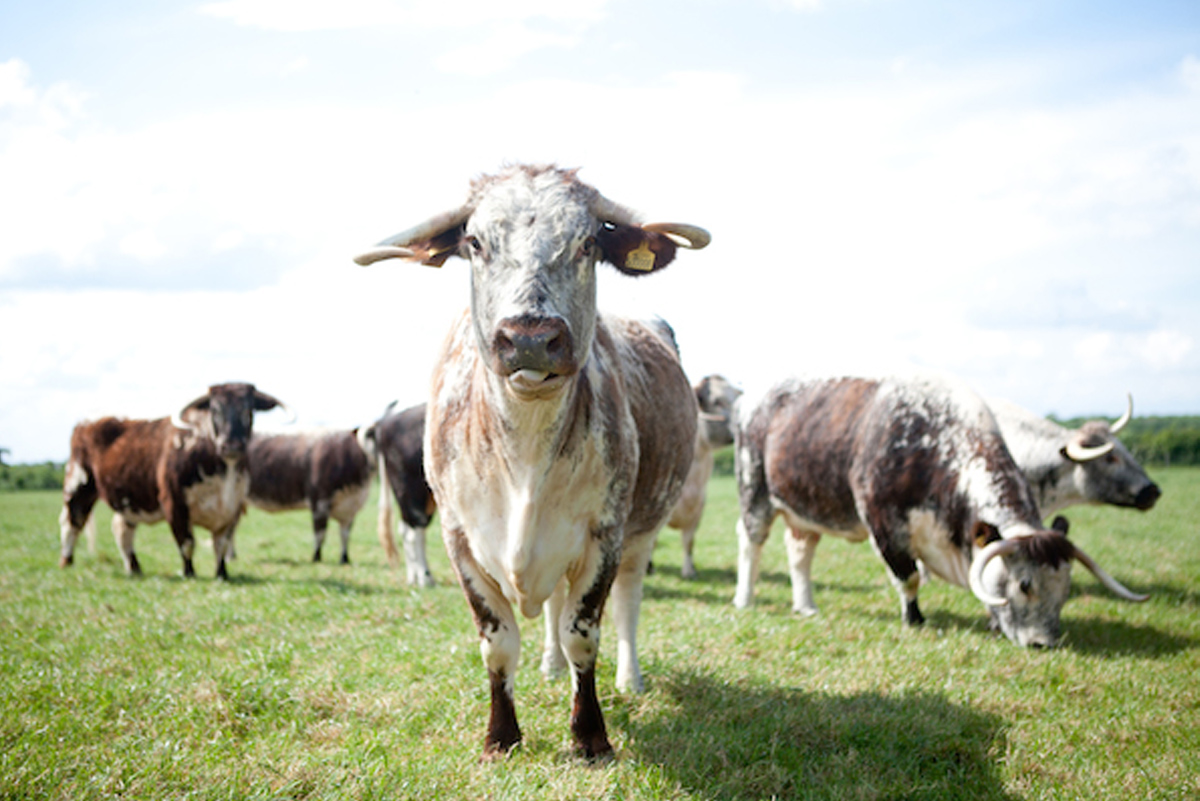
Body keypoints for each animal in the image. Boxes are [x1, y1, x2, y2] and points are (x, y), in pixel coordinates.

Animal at [59, 383, 288, 580]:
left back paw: (134, 568)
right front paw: (189, 573)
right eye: (215, 409)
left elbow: (221, 544)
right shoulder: (174, 502)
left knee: (122, 530)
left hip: (127, 499)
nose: (231, 444)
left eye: (249, 410)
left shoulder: (234, 505)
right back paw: (67, 561)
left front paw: (222, 573)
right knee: (73, 521)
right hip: (79, 484)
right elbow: (187, 542)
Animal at [246, 427, 378, 564]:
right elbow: (320, 533)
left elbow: (345, 534)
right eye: (367, 435)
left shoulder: (349, 508)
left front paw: (344, 559)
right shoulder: (320, 502)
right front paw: (316, 557)